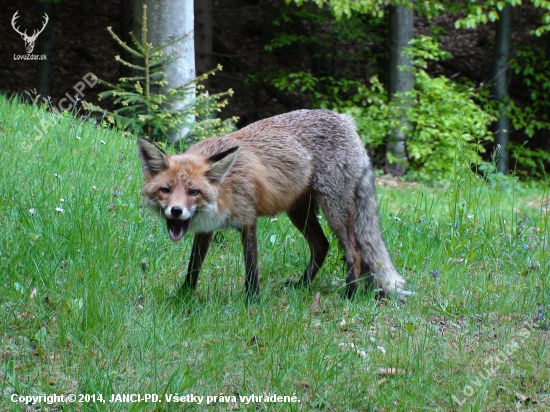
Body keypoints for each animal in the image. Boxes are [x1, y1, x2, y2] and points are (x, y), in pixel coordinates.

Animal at [139, 109, 414, 302]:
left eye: (193, 192)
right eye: (166, 190)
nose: (176, 211)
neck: (225, 186)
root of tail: (347, 122)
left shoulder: (248, 220)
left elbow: (251, 268)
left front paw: (253, 302)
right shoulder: (207, 230)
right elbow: (193, 268)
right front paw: (183, 296)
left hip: (333, 209)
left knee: (354, 251)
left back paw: (349, 294)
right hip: (299, 212)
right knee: (322, 246)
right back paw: (304, 286)